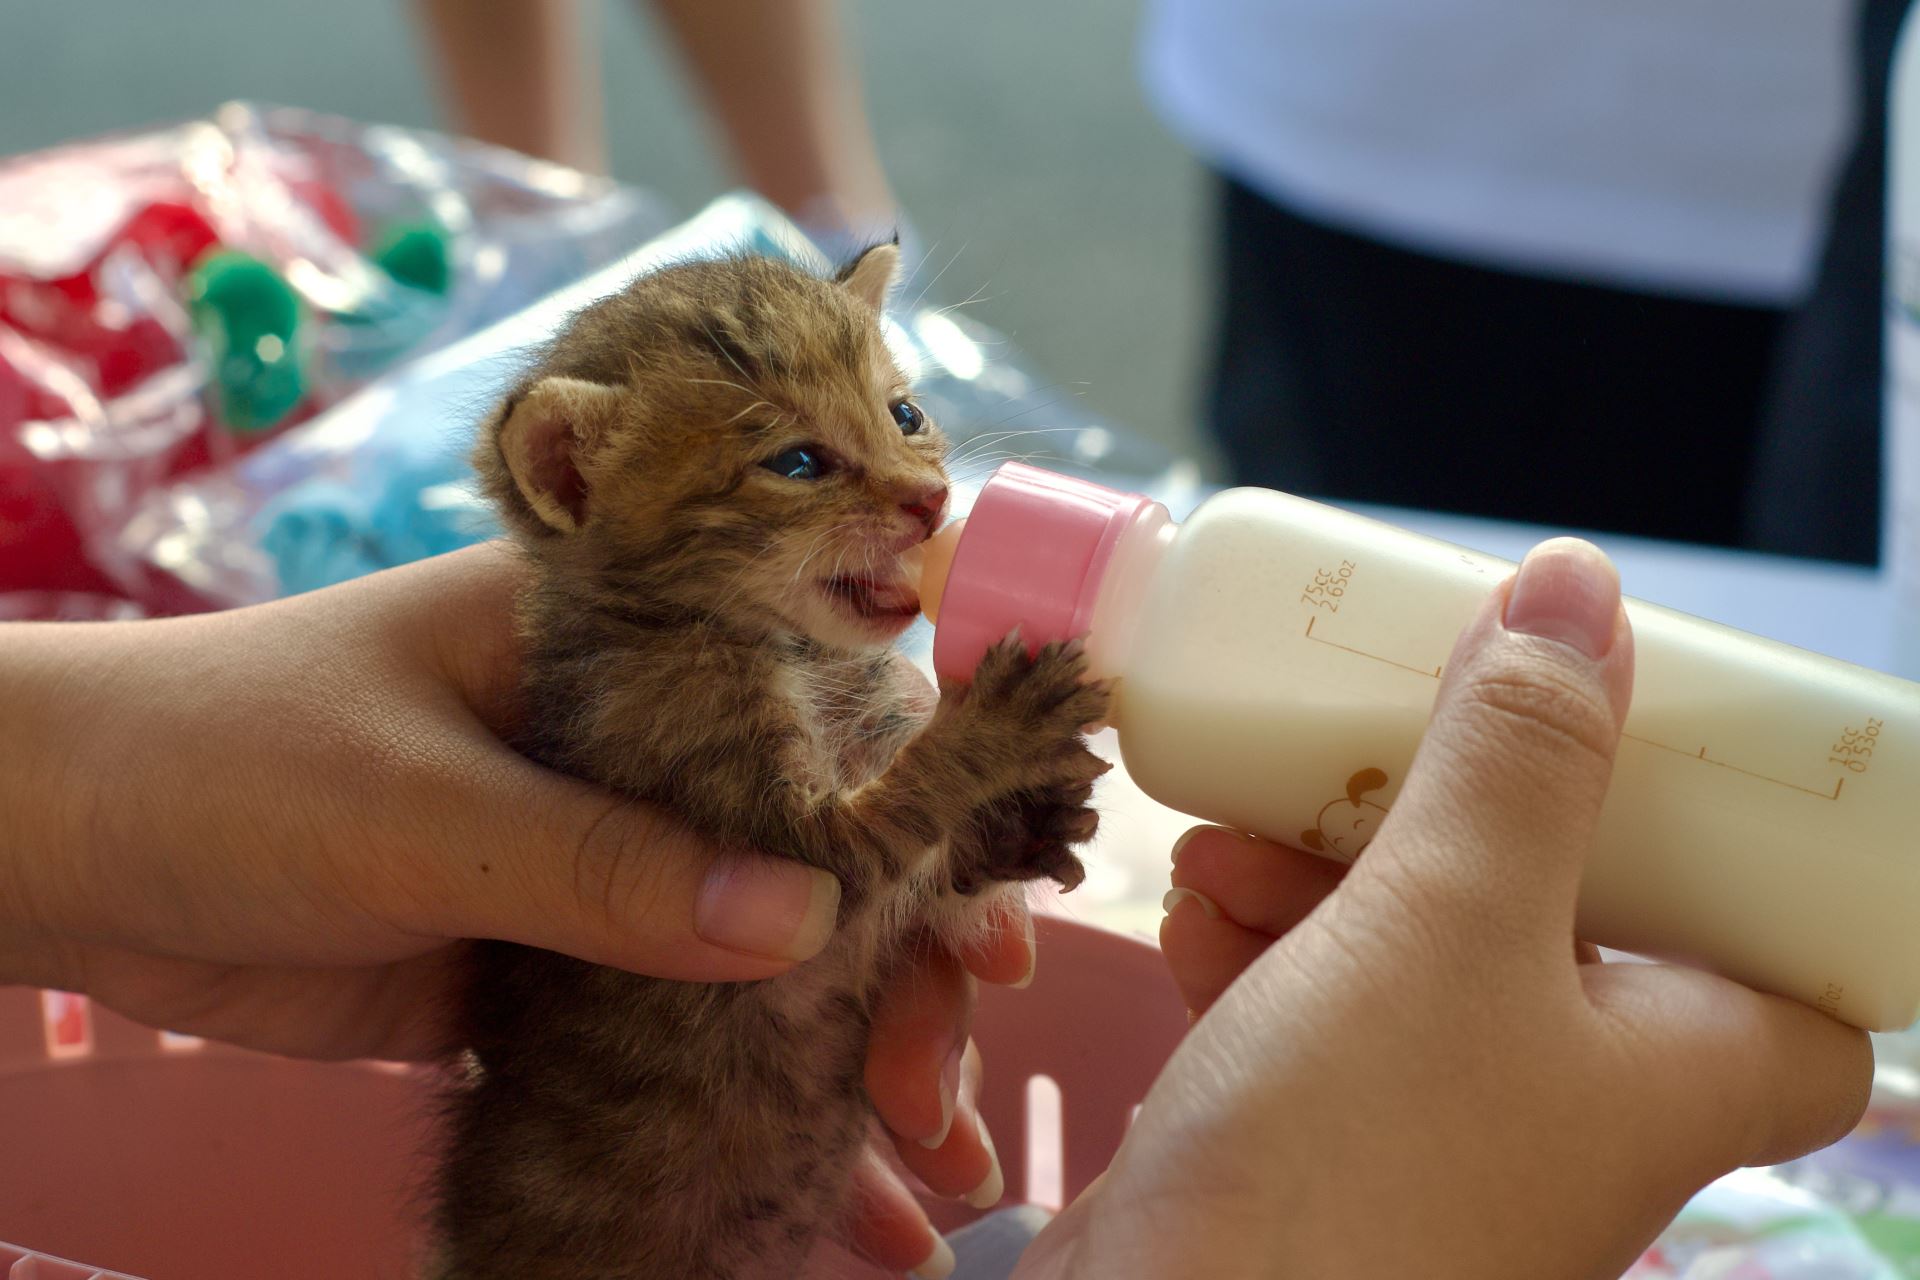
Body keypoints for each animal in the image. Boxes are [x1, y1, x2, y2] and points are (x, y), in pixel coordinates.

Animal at [432, 242, 1113, 1280]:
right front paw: (997, 725)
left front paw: (1020, 830)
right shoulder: (776, 833)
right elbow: (895, 813)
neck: (791, 649)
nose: (932, 503)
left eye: (904, 414)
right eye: (796, 463)